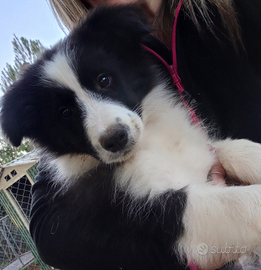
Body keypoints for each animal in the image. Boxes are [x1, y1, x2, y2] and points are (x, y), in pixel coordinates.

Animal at [1, 4, 260, 270]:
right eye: (64, 113)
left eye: (104, 79)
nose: (116, 138)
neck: (149, 144)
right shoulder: (147, 215)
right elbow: (236, 203)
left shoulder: (200, 151)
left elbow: (234, 148)